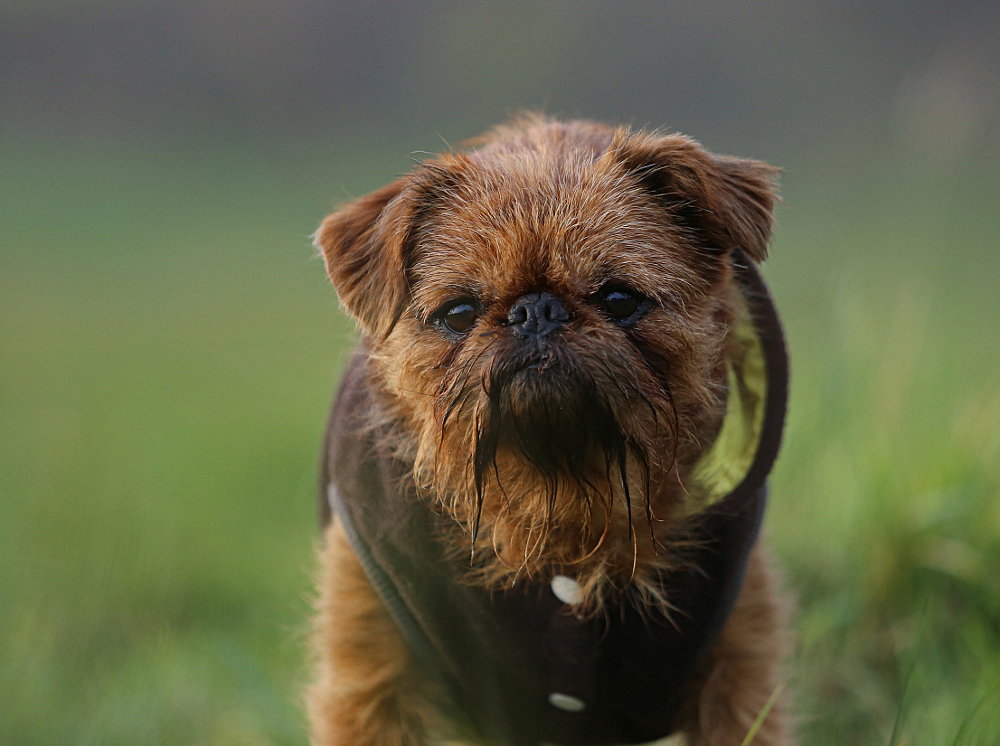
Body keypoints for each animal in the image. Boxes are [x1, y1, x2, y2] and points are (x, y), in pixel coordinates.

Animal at [308, 116, 792, 744]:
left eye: (620, 299)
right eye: (458, 313)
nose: (535, 311)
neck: (559, 502)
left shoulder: (737, 666)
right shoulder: (372, 673)